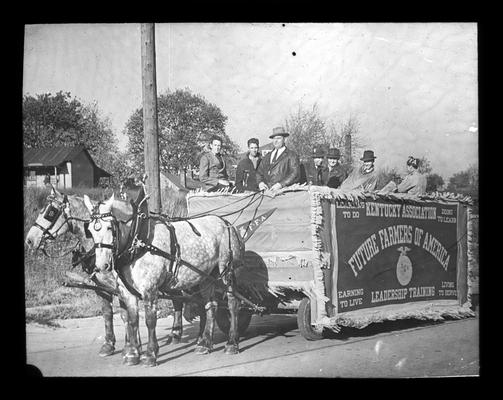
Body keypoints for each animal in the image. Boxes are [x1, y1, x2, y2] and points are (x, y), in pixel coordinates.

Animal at [83, 192, 245, 368]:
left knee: (233, 303)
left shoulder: (150, 290)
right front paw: (132, 354)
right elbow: (132, 320)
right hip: (206, 277)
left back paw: (232, 343)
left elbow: (150, 320)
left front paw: (150, 354)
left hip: (227, 270)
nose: (101, 265)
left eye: (109, 227)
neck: (138, 239)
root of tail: (228, 224)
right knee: (211, 305)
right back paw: (205, 343)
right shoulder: (126, 292)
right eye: (90, 230)